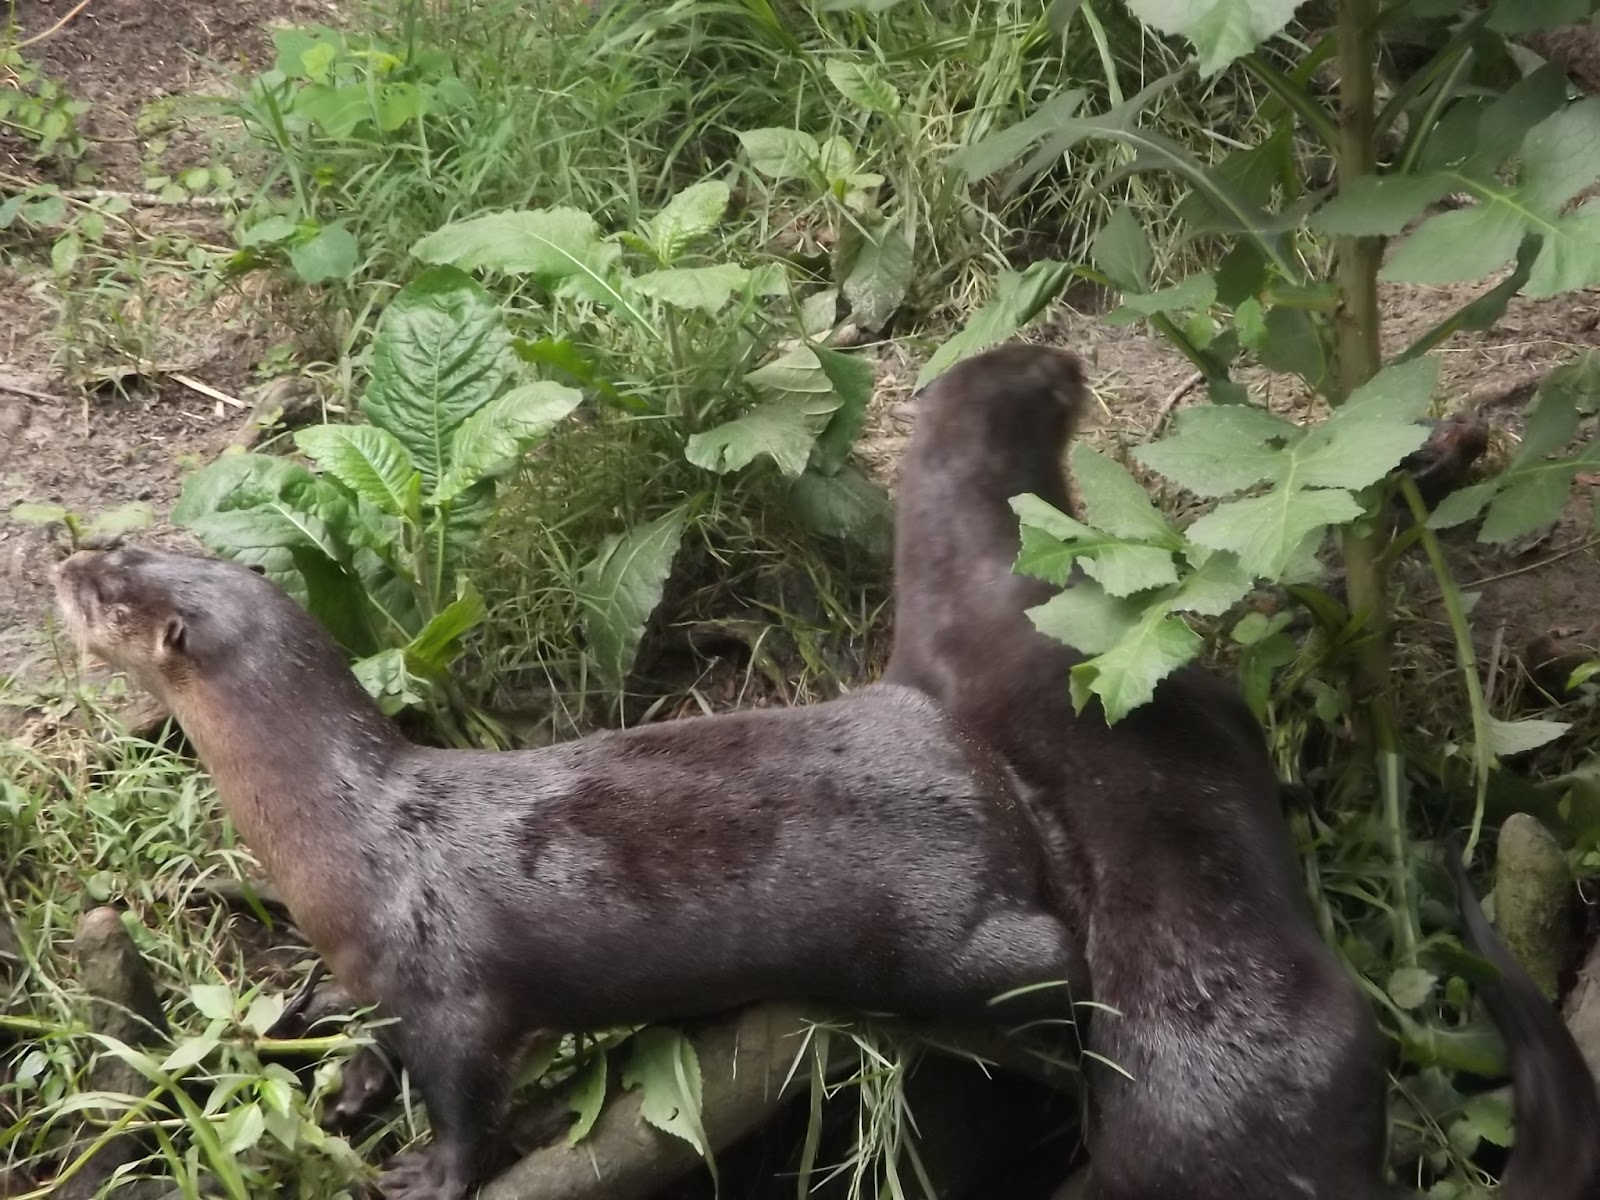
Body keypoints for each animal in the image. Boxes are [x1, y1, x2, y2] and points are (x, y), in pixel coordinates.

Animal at [55, 544, 1088, 1200]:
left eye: (110, 595)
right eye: (124, 545)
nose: (63, 566)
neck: (347, 837)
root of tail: (991, 787)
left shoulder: (453, 993)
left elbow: (470, 1097)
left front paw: (427, 1175)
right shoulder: (378, 972)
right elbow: (379, 1033)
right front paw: (353, 1084)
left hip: (940, 934)